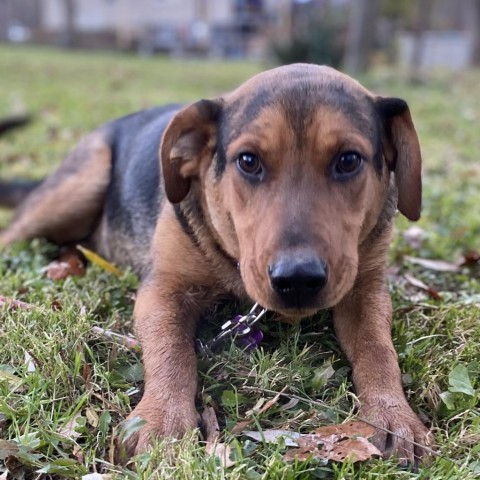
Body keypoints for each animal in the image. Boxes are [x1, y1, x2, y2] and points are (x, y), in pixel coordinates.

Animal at [0, 64, 432, 464]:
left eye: (349, 160)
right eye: (248, 161)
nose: (297, 280)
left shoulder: (366, 289)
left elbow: (378, 349)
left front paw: (393, 414)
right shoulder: (163, 290)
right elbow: (172, 352)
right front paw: (163, 418)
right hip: (79, 185)